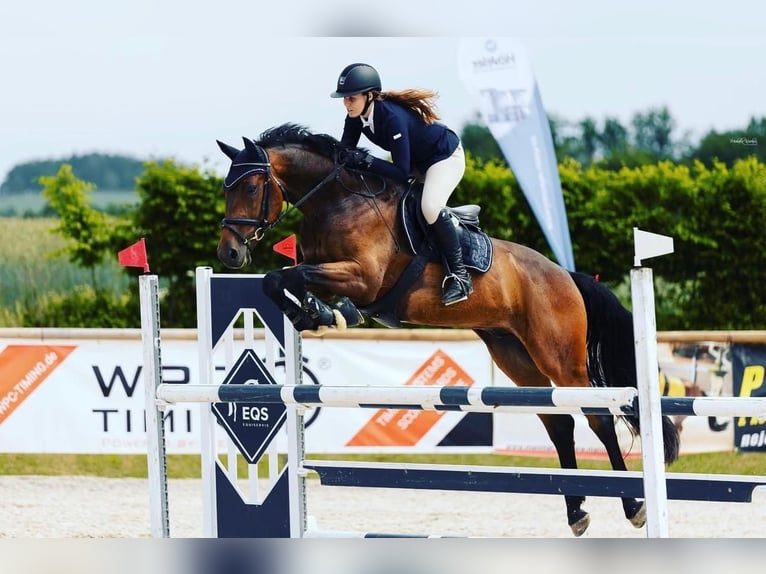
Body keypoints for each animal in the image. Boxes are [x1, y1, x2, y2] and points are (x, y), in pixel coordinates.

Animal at [215, 123, 680, 537]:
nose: (229, 254)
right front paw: (316, 314)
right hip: (515, 356)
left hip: (560, 358)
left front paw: (323, 312)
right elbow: (278, 280)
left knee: (598, 417)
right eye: (225, 188)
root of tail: (564, 275)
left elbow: (289, 277)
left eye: (251, 188)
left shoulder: (362, 278)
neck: (336, 203)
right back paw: (576, 511)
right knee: (559, 424)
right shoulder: (325, 271)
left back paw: (633, 505)